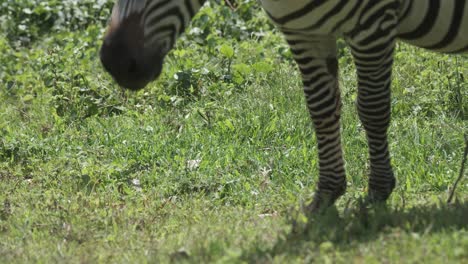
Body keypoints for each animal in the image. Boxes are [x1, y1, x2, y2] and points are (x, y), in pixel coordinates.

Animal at [101, 0, 468, 212]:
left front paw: (378, 190)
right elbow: (320, 109)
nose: (113, 61)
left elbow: (372, 108)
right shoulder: (303, 32)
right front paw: (328, 192)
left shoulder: (373, 25)